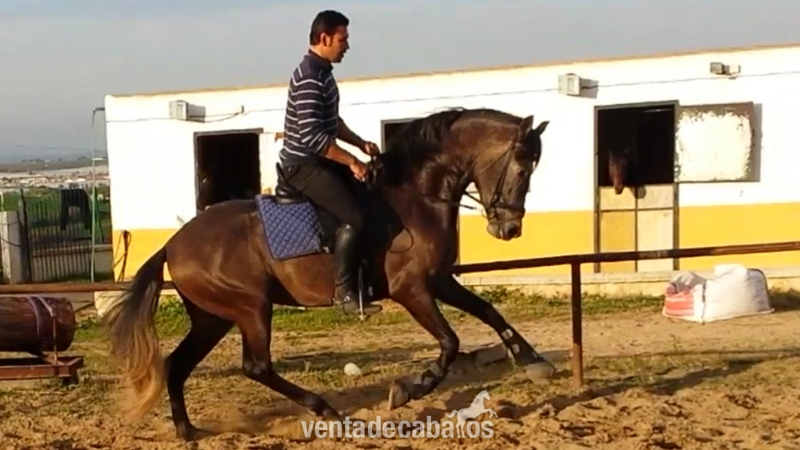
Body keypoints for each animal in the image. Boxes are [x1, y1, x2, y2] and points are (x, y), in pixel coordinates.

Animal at [101, 107, 554, 441]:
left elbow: (490, 312)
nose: (509, 229)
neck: (416, 197)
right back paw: (330, 412)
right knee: (256, 367)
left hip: (213, 318)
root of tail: (174, 243)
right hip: (251, 307)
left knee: (177, 364)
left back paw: (187, 430)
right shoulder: (412, 290)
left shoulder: (439, 281)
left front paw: (532, 360)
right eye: (521, 169)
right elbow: (450, 343)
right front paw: (411, 388)